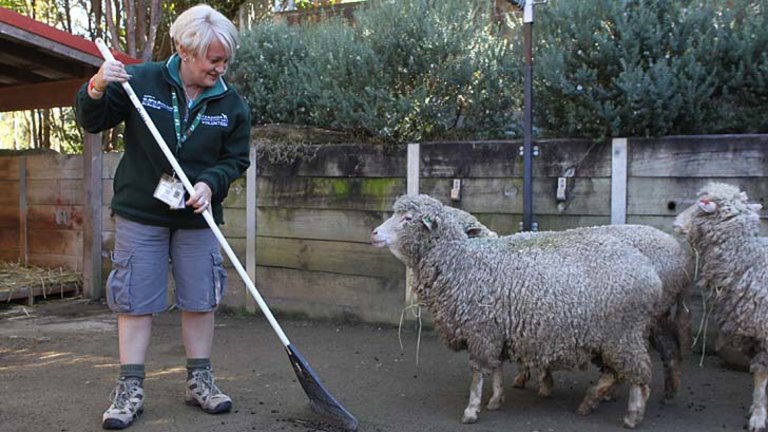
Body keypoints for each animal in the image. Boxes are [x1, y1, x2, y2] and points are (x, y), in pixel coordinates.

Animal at [371, 194, 663, 428]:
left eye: (407, 218)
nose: (373, 234)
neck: (460, 260)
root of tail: (650, 272)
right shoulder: (496, 329)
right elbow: (497, 367)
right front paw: (496, 400)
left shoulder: (480, 329)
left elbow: (478, 371)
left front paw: (471, 410)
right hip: (613, 337)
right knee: (617, 372)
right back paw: (590, 403)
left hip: (622, 334)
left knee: (637, 375)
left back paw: (631, 415)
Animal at [672, 182, 768, 432]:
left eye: (700, 207)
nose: (675, 221)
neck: (749, 263)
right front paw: (757, 409)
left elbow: (761, 375)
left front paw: (758, 416)